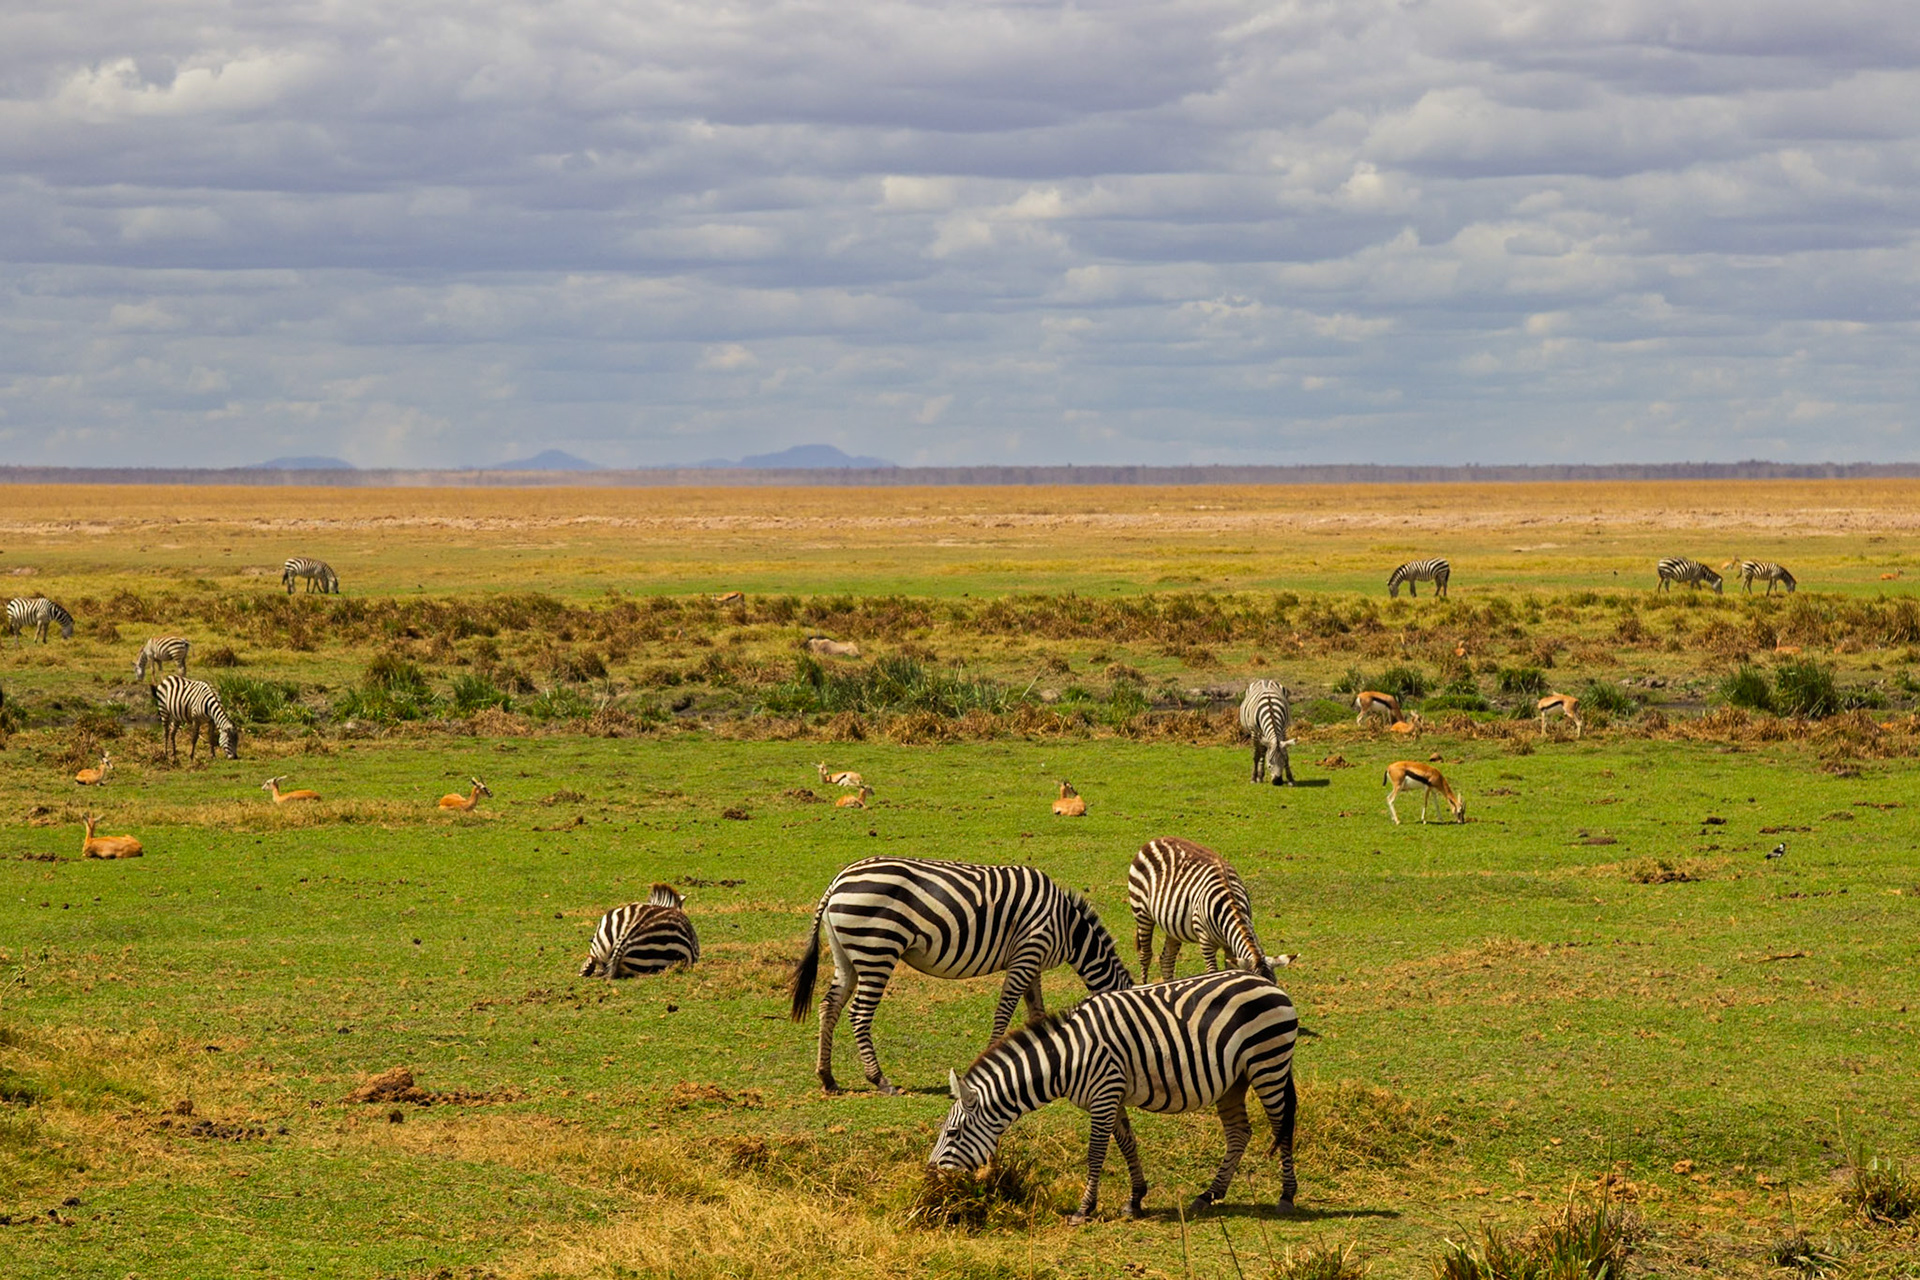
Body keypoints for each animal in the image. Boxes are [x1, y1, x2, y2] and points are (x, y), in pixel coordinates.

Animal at [788, 856, 1134, 1095]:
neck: (1068, 928)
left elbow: (1036, 1011)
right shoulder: (1027, 952)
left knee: (829, 1006)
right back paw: (880, 1080)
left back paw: (827, 1077)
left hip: (846, 954)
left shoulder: (1033, 962)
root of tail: (837, 882)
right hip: (877, 949)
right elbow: (1004, 1010)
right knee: (859, 1014)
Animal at [930, 969, 1300, 1222]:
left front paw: (1084, 1209)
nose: (930, 1177)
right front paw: (1135, 1199)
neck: (1068, 1056)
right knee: (1239, 1133)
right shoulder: (1114, 1094)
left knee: (1282, 1126)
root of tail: (1267, 982)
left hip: (1268, 1063)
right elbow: (1127, 1144)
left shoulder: (1105, 1093)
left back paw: (1286, 1196)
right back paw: (1209, 1194)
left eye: (953, 1133)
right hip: (1234, 1080)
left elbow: (1096, 1153)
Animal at [1128, 837, 1277, 983]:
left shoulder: (1230, 947)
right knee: (1145, 955)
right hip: (1141, 911)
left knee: (1166, 959)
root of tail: (1154, 841)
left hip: (1171, 925)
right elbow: (1212, 972)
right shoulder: (1205, 941)